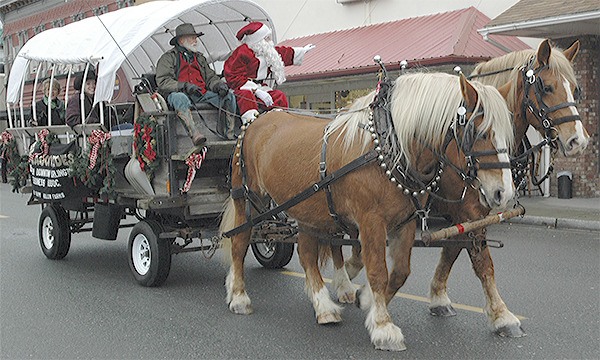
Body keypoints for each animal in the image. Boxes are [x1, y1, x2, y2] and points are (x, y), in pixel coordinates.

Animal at [220, 72, 516, 352]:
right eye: (480, 133)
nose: (503, 193)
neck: (389, 146)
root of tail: (256, 120)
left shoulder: (405, 222)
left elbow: (401, 271)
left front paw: (366, 300)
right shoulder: (371, 221)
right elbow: (377, 271)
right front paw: (384, 327)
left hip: (307, 210)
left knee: (307, 255)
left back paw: (323, 306)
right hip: (247, 198)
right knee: (239, 243)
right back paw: (239, 295)